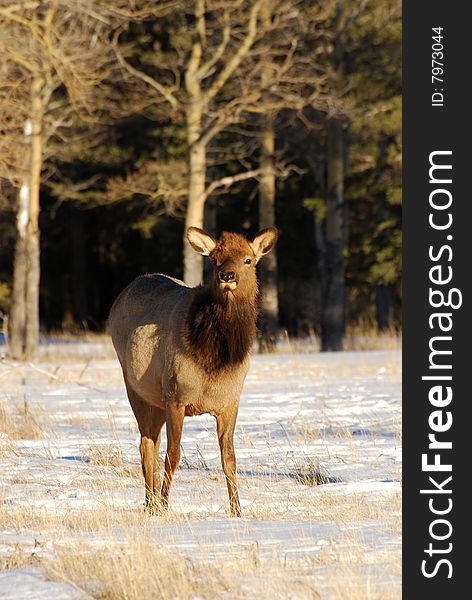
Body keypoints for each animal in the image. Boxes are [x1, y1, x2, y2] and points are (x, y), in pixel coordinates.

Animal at [108, 225, 276, 516]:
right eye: (215, 259)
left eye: (248, 259)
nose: (227, 275)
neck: (215, 365)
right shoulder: (176, 397)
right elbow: (173, 455)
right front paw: (165, 504)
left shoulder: (230, 402)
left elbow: (229, 458)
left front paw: (237, 510)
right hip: (135, 388)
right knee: (146, 444)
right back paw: (151, 503)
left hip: (156, 400)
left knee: (150, 441)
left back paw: (151, 503)